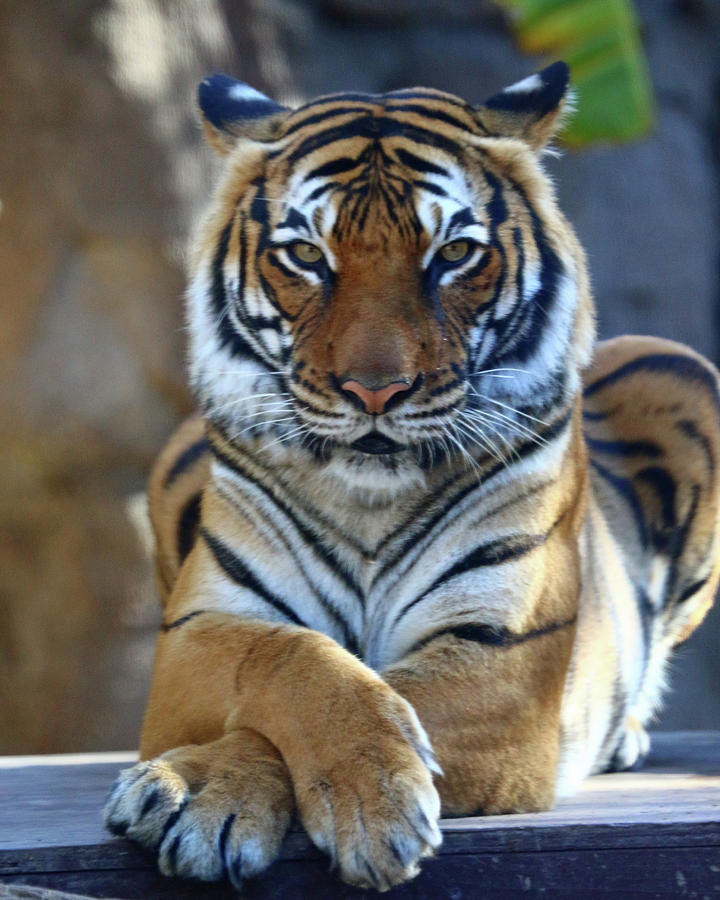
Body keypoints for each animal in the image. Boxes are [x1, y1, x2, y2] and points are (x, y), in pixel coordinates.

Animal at [102, 65, 720, 892]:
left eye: (453, 253)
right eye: (306, 255)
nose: (375, 392)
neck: (369, 499)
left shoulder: (500, 656)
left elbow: (383, 696)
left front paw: (360, 803)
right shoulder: (196, 632)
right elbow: (295, 659)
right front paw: (197, 789)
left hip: (683, 368)